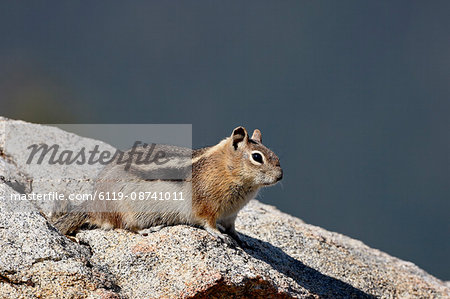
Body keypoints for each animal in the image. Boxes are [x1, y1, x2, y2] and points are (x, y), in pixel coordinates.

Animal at [53, 126, 282, 246]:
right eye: (257, 157)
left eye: (274, 155)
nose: (280, 176)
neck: (224, 169)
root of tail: (94, 203)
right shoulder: (206, 205)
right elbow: (207, 222)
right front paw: (218, 234)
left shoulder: (231, 214)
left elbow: (232, 227)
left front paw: (239, 237)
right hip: (126, 208)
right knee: (126, 225)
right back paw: (148, 229)